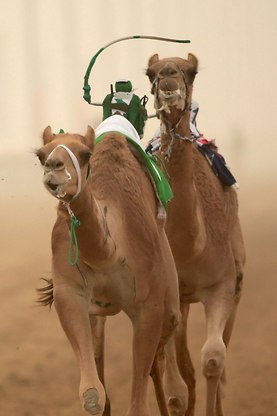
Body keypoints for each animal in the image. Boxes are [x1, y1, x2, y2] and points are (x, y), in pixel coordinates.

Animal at [34, 123, 185, 416]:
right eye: (41, 154)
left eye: (84, 153)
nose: (53, 167)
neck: (109, 253)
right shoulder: (69, 292)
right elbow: (93, 395)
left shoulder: (148, 304)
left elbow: (138, 405)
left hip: (165, 261)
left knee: (172, 327)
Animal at [146, 54, 245, 416]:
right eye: (150, 72)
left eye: (191, 71)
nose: (167, 77)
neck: (188, 246)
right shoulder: (166, 298)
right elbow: (175, 388)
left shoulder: (222, 285)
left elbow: (213, 361)